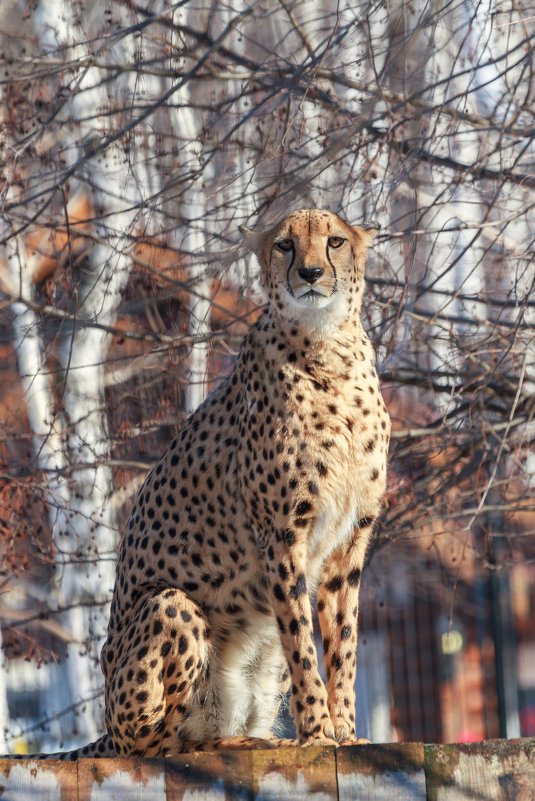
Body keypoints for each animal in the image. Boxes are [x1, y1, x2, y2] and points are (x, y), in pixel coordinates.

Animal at [21, 208, 390, 756]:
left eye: (336, 242)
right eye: (284, 245)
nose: (309, 274)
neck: (329, 347)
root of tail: (107, 731)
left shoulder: (350, 540)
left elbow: (342, 643)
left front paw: (345, 731)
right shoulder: (282, 536)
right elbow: (303, 644)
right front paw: (318, 735)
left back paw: (255, 737)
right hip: (168, 606)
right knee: (166, 746)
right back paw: (245, 744)